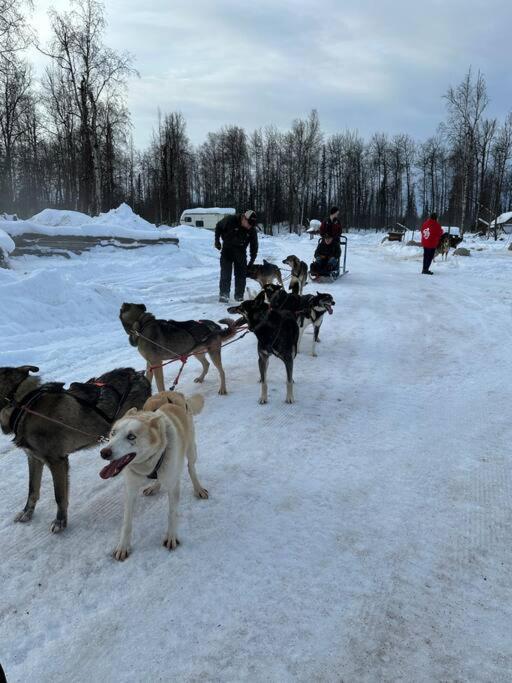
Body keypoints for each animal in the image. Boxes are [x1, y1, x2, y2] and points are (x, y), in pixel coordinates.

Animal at [99, 390, 207, 560]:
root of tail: (174, 392)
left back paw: (198, 488)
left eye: (131, 436)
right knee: (160, 479)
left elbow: (171, 513)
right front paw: (123, 546)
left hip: (191, 450)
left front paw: (171, 536)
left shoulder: (173, 486)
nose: (104, 452)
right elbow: (127, 522)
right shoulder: (130, 490)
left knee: (191, 468)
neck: (147, 465)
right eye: (113, 433)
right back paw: (154, 486)